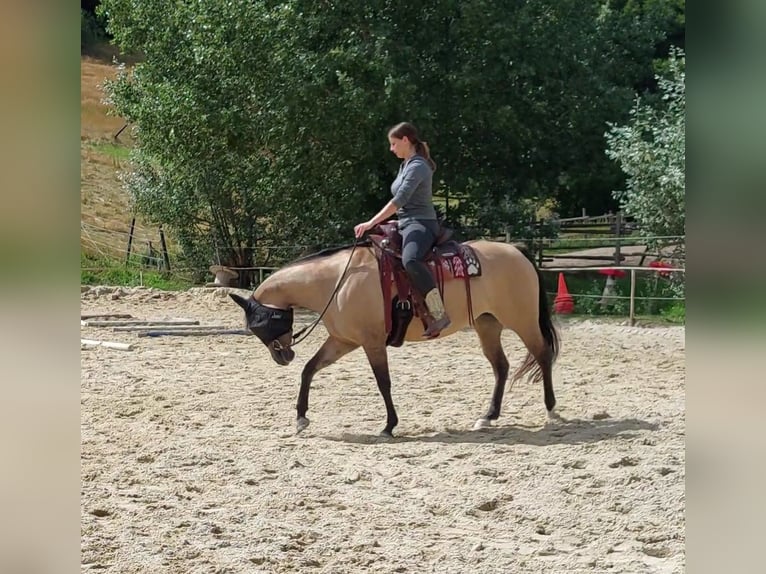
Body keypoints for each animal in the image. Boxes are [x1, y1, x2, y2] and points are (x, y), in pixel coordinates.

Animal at [231, 227, 560, 438]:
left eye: (262, 323)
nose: (282, 357)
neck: (337, 282)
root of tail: (517, 251)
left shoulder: (372, 343)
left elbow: (383, 383)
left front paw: (389, 425)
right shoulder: (342, 341)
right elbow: (310, 369)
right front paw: (300, 418)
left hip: (522, 320)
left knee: (543, 355)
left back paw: (551, 411)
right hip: (487, 324)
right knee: (501, 366)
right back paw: (488, 417)